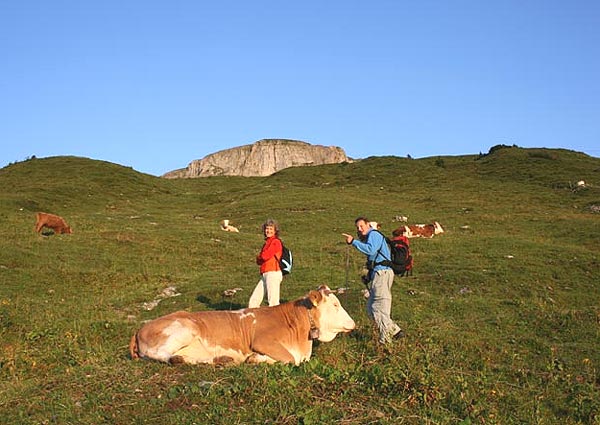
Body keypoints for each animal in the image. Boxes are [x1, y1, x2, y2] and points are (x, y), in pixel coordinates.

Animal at [130, 284, 356, 364]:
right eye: (335, 304)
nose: (353, 323)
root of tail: (140, 328)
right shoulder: (263, 341)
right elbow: (291, 359)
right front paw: (256, 359)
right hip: (184, 328)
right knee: (158, 354)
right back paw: (179, 360)